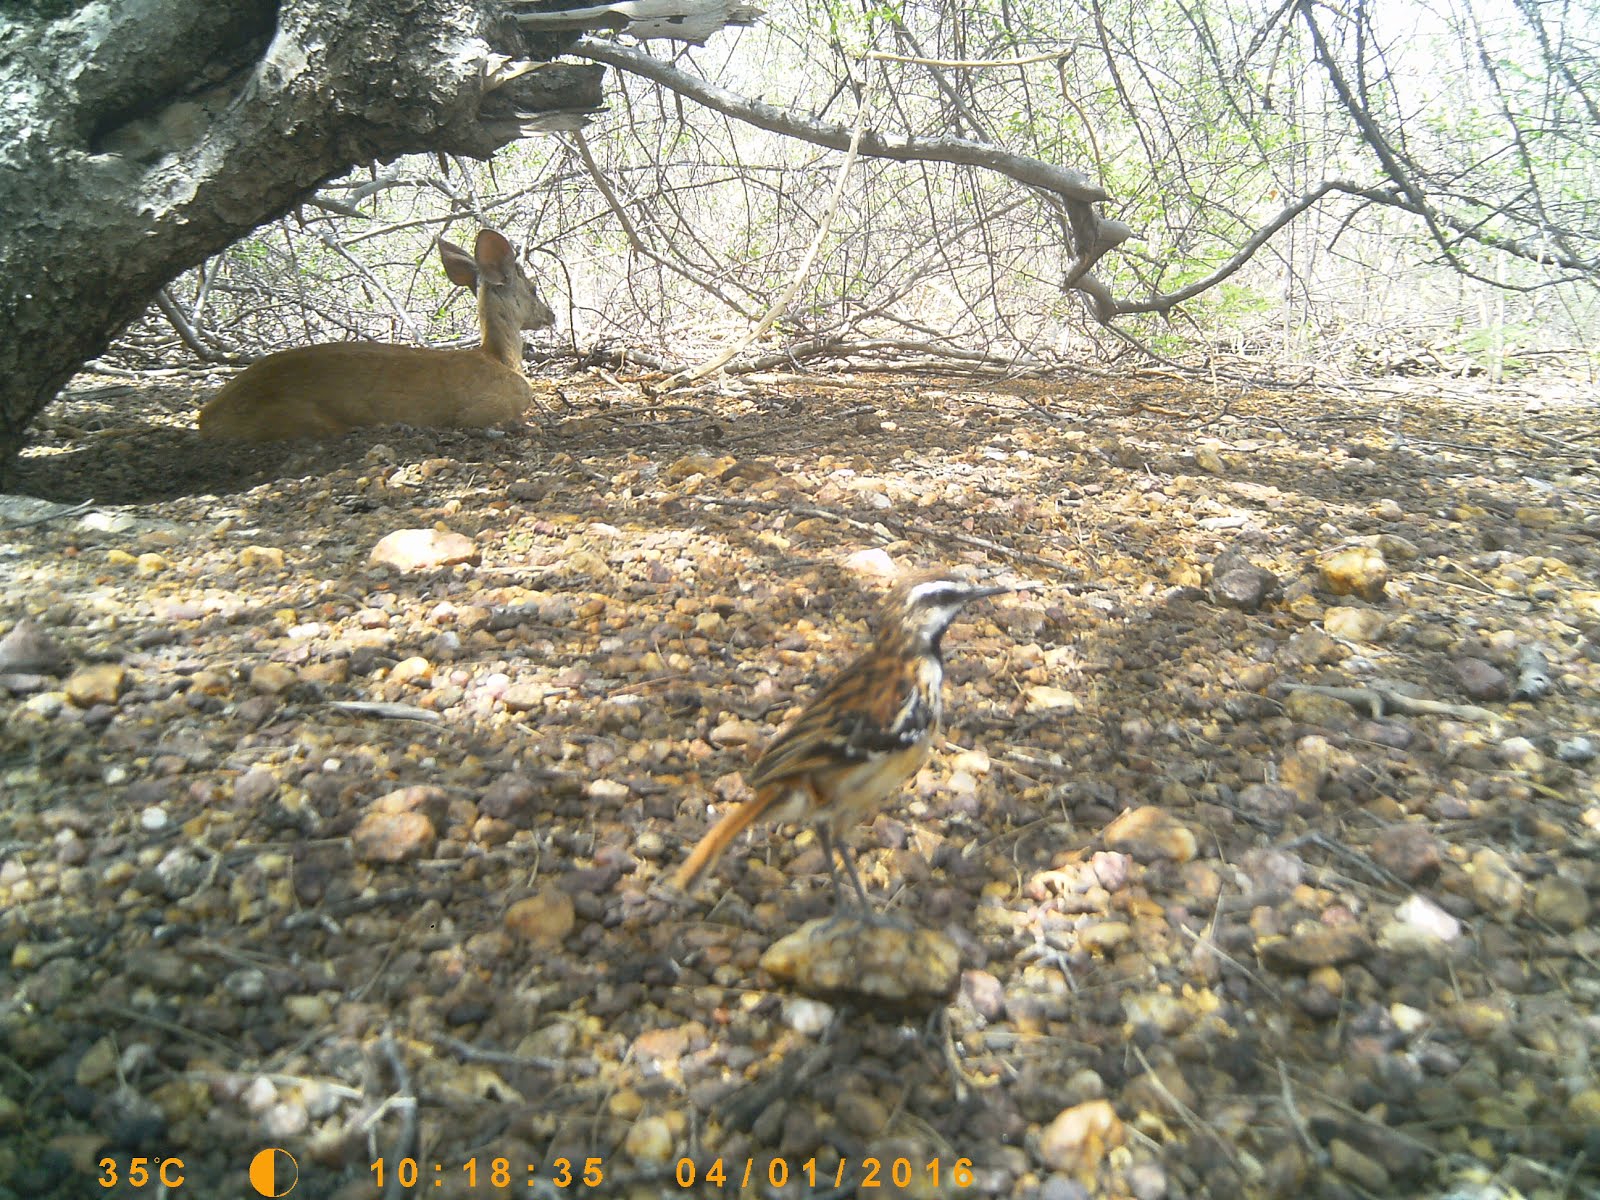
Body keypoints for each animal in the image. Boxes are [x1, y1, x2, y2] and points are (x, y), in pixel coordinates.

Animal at [198, 227, 556, 444]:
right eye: (534, 288)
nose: (551, 315)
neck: (500, 358)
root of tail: (206, 415)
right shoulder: (483, 409)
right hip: (298, 417)